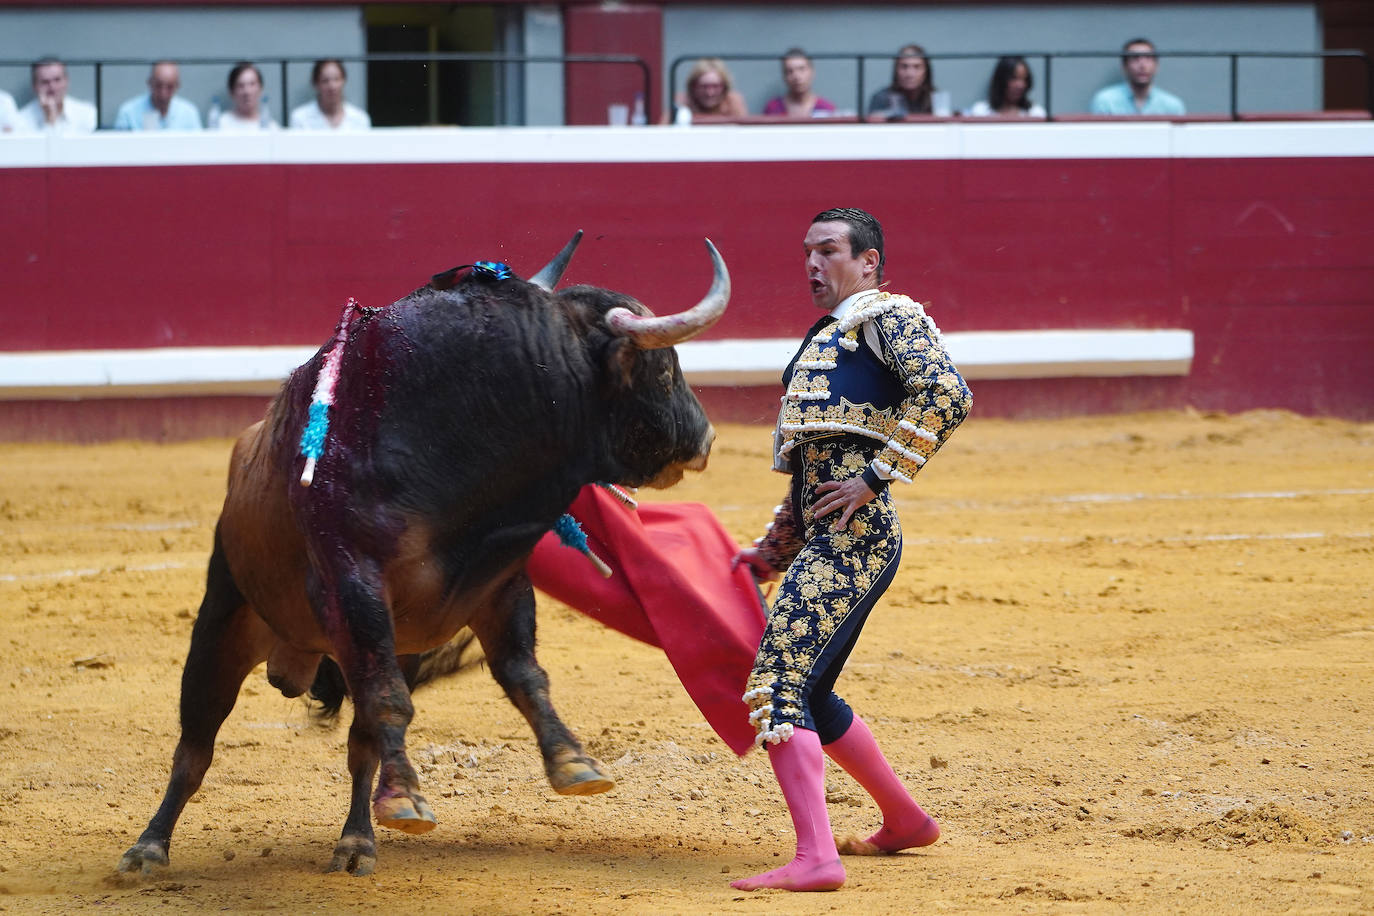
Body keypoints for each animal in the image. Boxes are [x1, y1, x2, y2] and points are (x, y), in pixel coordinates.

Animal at [118, 233, 730, 878]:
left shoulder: (498, 582)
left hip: (387, 645)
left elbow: (521, 674)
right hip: (228, 619)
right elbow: (391, 701)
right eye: (663, 369)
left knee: (361, 742)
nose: (706, 438)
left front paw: (573, 763)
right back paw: (148, 847)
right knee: (197, 742)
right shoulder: (355, 586)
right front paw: (409, 799)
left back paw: (357, 842)